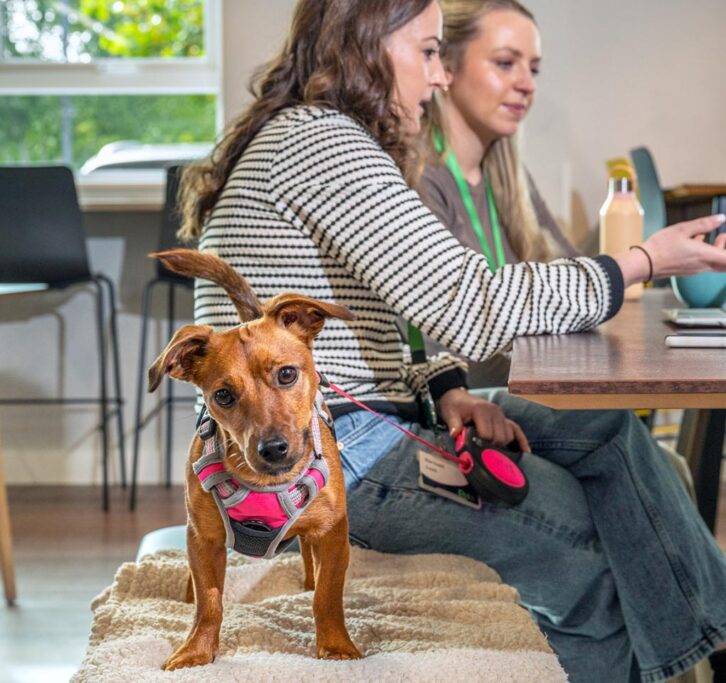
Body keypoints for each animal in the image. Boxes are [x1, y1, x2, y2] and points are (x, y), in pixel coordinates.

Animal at [149, 247, 364, 668]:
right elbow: (209, 603)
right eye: (223, 395)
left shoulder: (333, 534)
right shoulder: (204, 539)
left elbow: (327, 596)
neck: (265, 482)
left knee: (310, 563)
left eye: (286, 374)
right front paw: (196, 651)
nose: (273, 448)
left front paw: (337, 647)